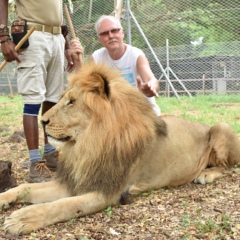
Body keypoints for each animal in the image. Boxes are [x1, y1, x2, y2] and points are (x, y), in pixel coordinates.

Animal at [0, 62, 240, 236]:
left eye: (71, 102)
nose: (42, 121)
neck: (87, 144)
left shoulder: (107, 193)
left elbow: (61, 206)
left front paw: (21, 219)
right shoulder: (76, 181)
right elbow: (25, 187)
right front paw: (4, 198)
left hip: (221, 126)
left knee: (229, 166)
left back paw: (206, 175)